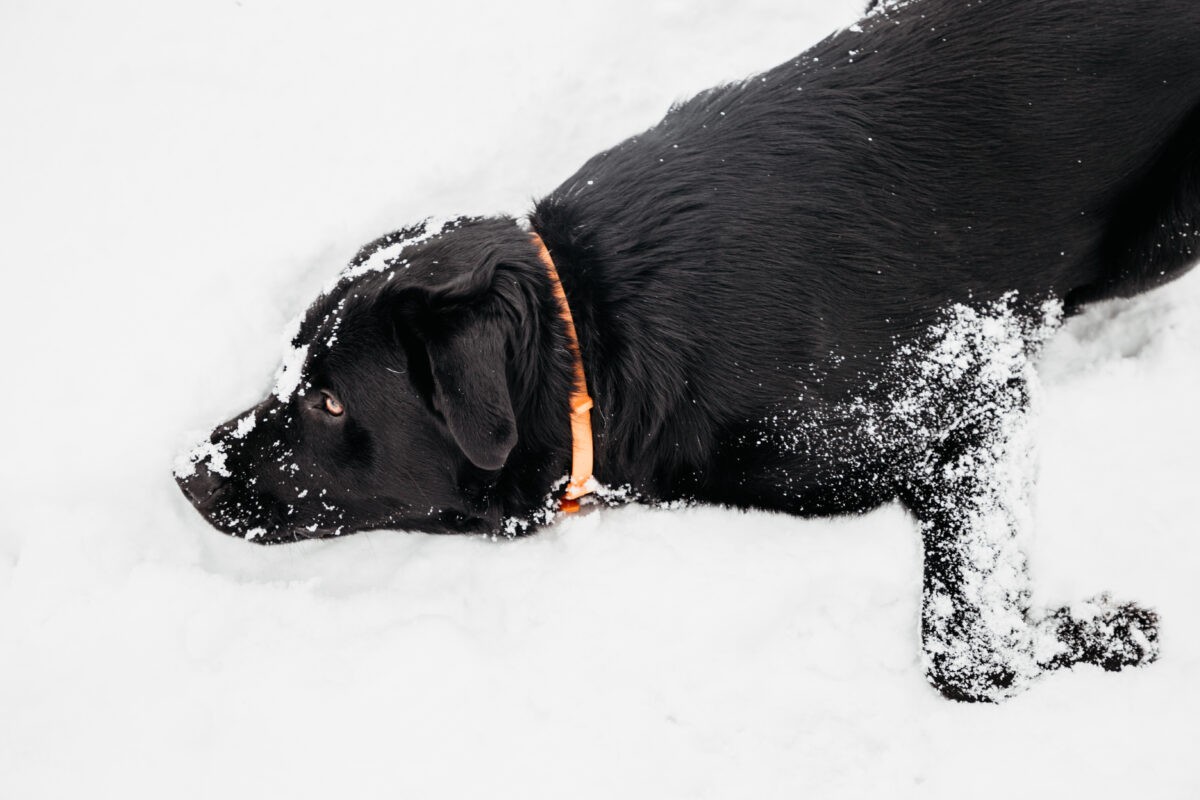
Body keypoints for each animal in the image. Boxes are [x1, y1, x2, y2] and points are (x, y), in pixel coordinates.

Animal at [175, 0, 1200, 700]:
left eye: (331, 400)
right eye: (290, 368)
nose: (187, 474)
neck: (594, 334)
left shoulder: (970, 393)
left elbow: (960, 651)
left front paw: (1098, 637)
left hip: (1165, 234)